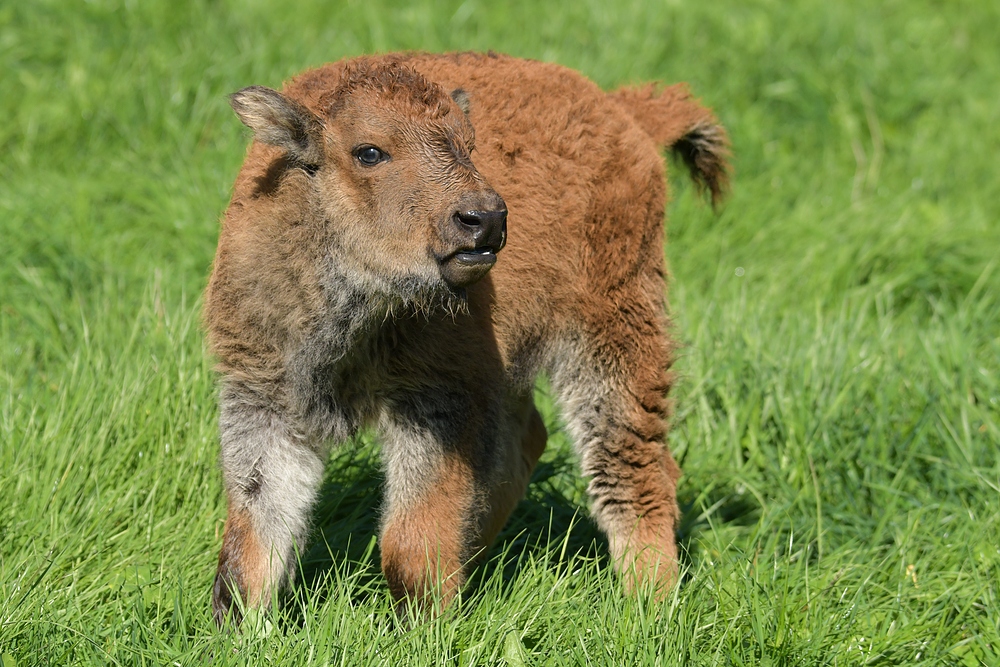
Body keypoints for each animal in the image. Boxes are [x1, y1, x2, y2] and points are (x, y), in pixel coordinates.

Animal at [205, 52, 728, 628]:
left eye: (469, 146)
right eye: (368, 152)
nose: (485, 219)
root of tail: (619, 112)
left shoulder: (440, 401)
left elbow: (409, 540)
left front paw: (426, 622)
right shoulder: (263, 399)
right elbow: (255, 534)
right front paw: (239, 629)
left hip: (613, 328)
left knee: (632, 464)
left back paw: (649, 605)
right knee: (527, 442)